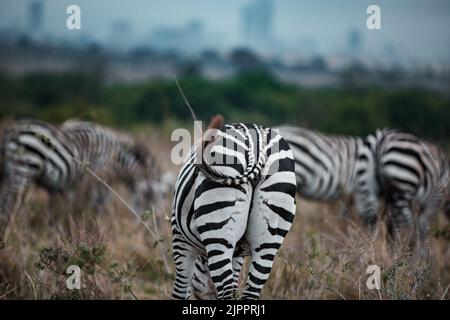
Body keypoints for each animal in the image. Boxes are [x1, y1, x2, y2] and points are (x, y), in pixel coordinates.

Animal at [0, 119, 165, 234]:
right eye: (149, 196)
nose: (148, 230)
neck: (117, 158)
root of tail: (10, 132)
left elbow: (66, 209)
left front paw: (65, 228)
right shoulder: (101, 178)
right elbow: (97, 204)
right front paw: (95, 226)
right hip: (23, 169)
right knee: (8, 204)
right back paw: (10, 231)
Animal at [171, 122, 298, 300]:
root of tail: (257, 143)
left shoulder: (180, 237)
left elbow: (181, 290)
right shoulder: (238, 254)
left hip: (219, 232)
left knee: (225, 291)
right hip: (268, 239)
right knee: (250, 291)